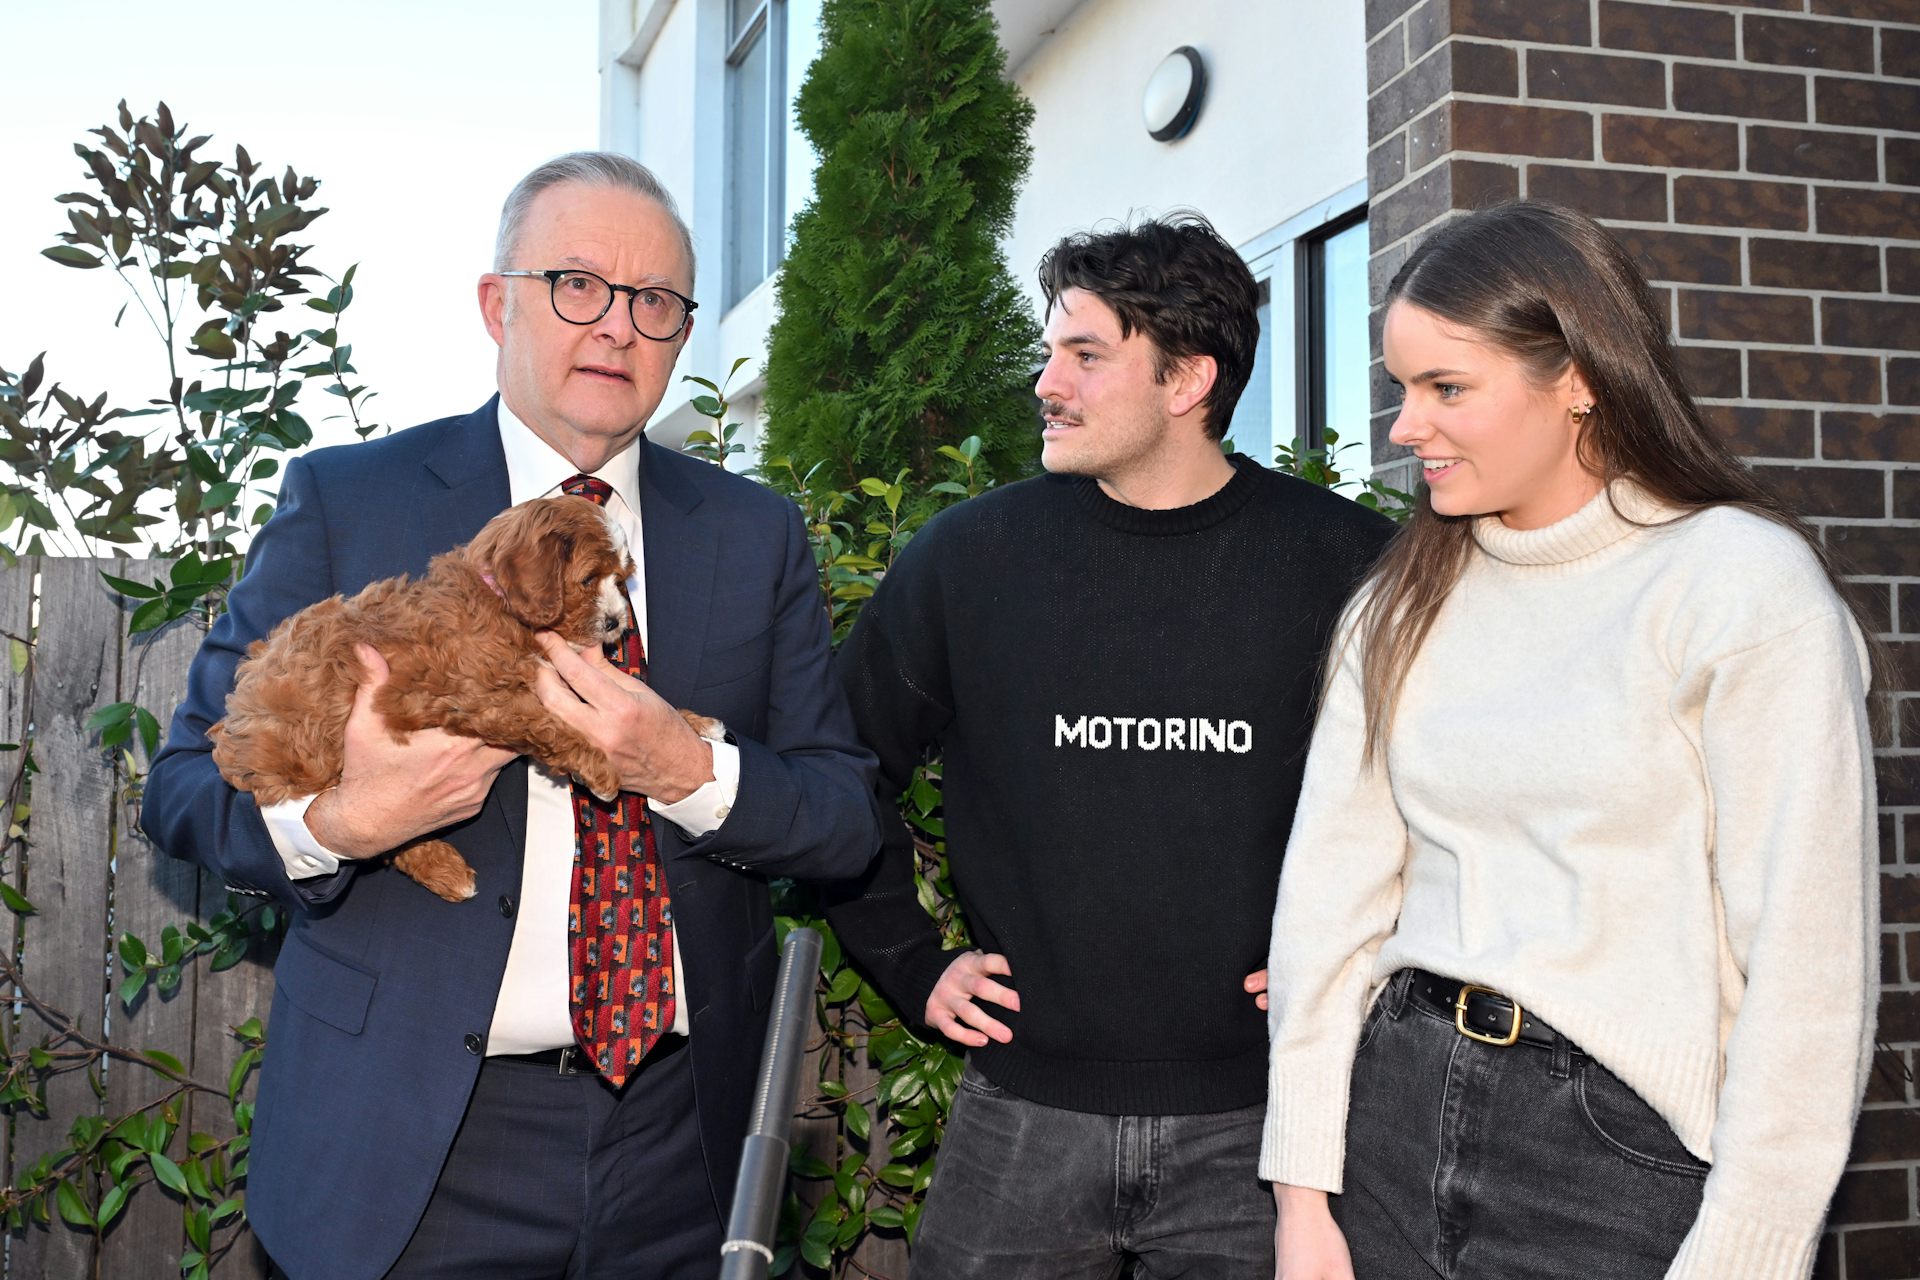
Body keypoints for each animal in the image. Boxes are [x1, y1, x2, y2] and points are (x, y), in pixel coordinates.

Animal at [209, 495, 723, 902]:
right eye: (587, 579)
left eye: (622, 580)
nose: (618, 623)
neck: (499, 603)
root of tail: (230, 736)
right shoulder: (471, 697)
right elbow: (547, 722)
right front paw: (597, 763)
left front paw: (690, 723)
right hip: (322, 763)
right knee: (383, 837)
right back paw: (445, 868)